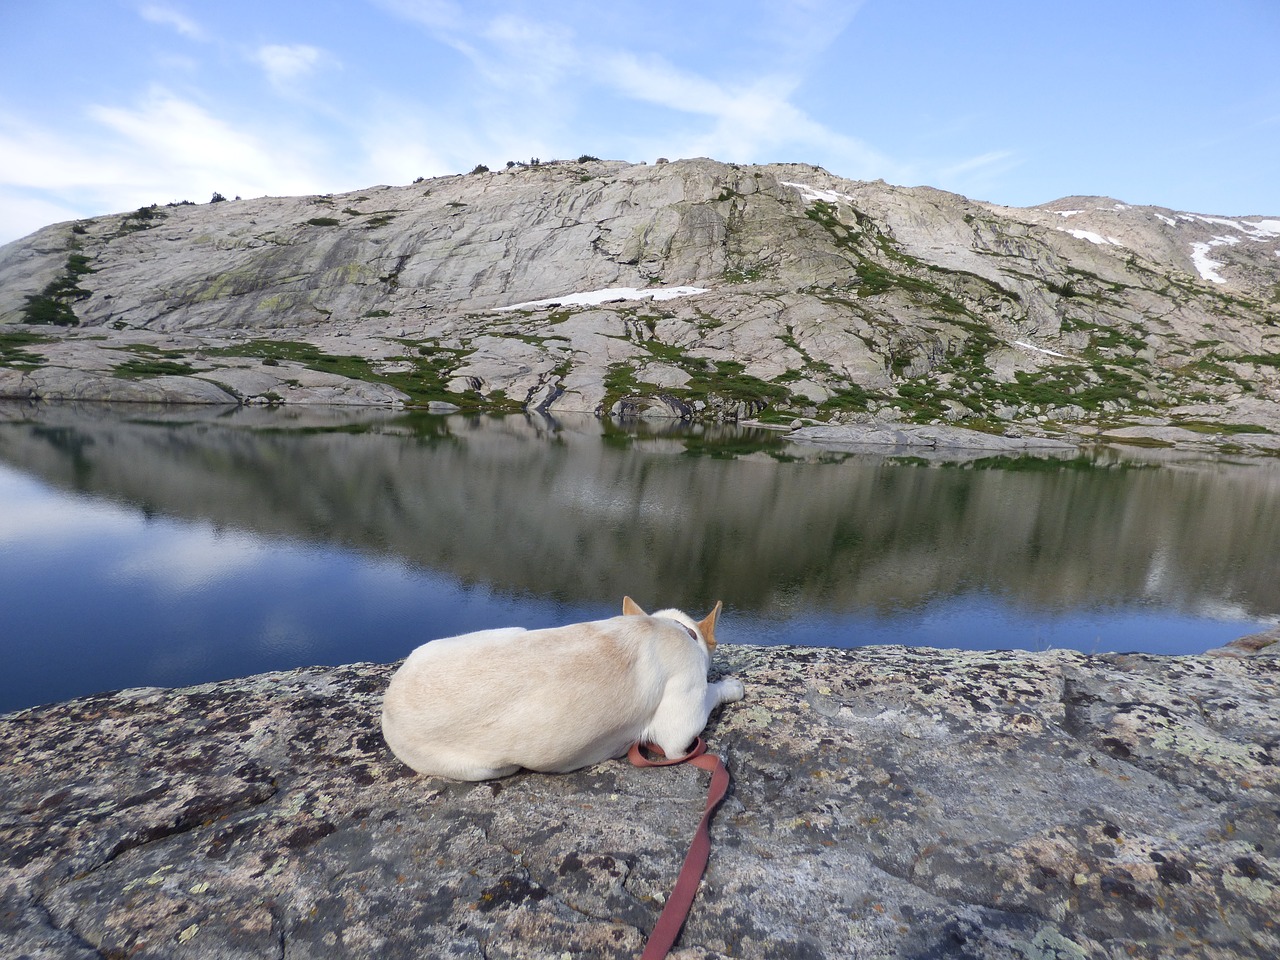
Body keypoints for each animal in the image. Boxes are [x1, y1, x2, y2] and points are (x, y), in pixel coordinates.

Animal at [378, 601, 747, 783]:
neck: (671, 628)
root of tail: (389, 704)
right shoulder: (678, 734)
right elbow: (710, 696)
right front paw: (730, 685)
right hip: (488, 769)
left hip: (507, 631)